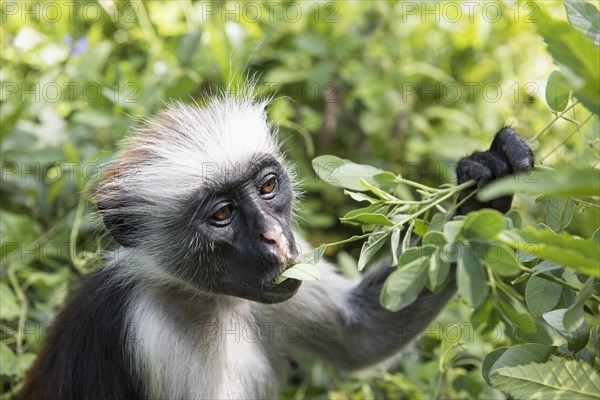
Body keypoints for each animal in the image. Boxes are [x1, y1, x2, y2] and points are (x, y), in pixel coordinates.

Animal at [21, 92, 532, 398]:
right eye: (222, 215)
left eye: (267, 187)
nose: (273, 234)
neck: (205, 300)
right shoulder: (157, 339)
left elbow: (359, 335)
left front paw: (485, 183)